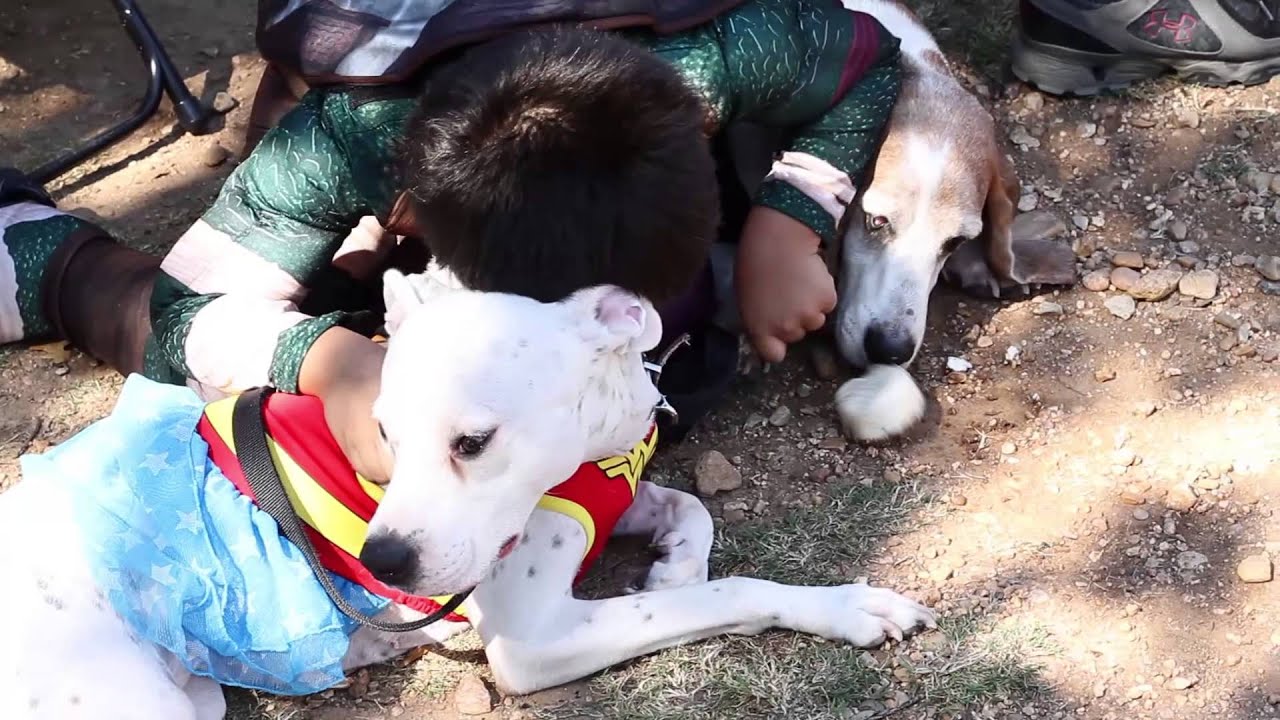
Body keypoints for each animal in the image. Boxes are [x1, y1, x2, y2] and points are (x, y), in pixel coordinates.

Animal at [0, 270, 936, 717]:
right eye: (382, 434)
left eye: (473, 444)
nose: (381, 559)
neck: (590, 453)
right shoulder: (534, 641)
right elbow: (733, 591)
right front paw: (843, 606)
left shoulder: (596, 504)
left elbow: (690, 507)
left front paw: (674, 565)